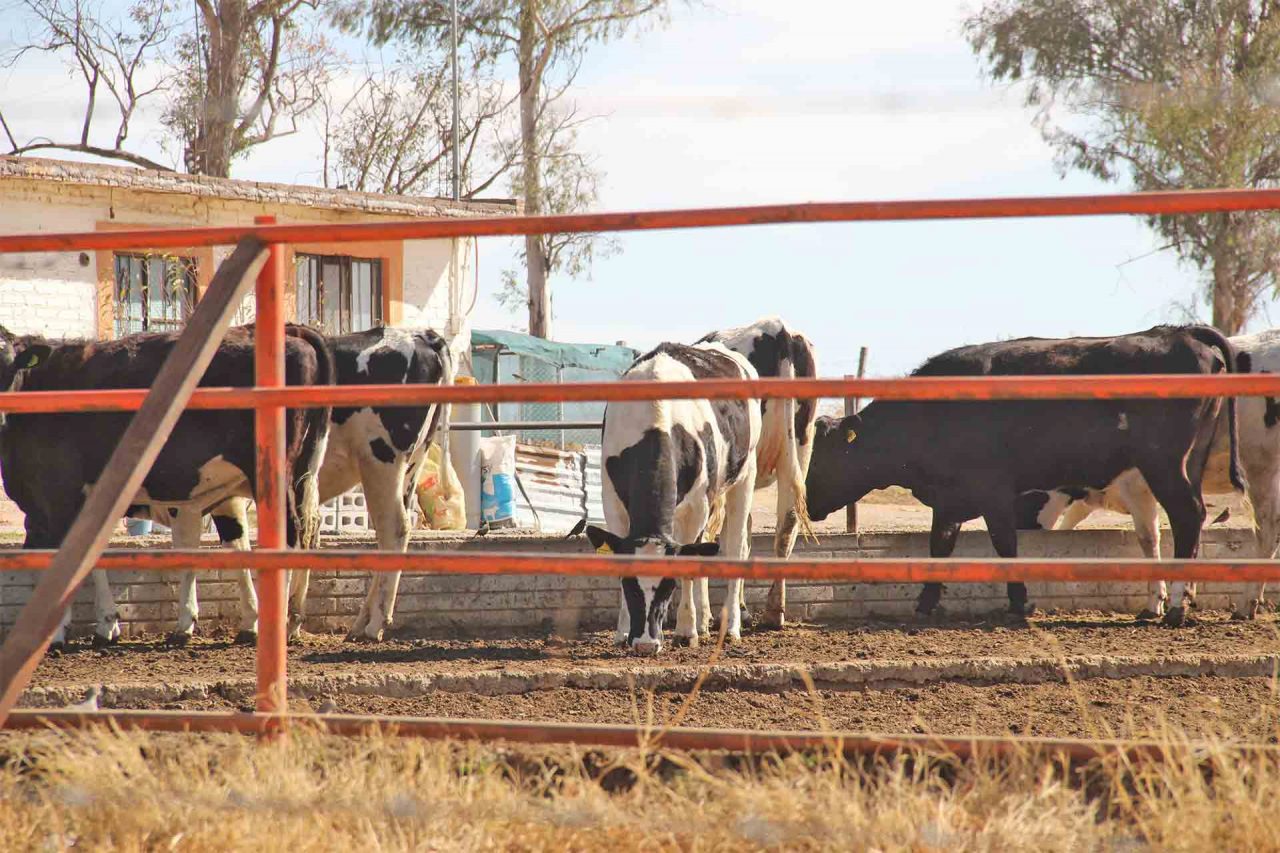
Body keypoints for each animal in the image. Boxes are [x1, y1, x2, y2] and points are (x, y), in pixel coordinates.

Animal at [0, 323, 334, 650]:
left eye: (9, 365)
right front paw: (106, 625)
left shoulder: (58, 495)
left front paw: (60, 632)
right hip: (302, 472)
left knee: (290, 535)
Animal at [166, 326, 453, 644]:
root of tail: (422, 335)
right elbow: (239, 545)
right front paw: (257, 620)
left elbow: (191, 547)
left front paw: (187, 624)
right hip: (409, 468)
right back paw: (359, 624)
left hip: (381, 462)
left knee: (393, 530)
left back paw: (375, 624)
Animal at [585, 341, 761, 654]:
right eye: (629, 584)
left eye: (668, 586)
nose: (645, 644)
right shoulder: (612, 502)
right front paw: (622, 631)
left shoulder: (696, 506)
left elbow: (689, 562)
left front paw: (686, 631)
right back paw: (705, 621)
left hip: (744, 475)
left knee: (735, 547)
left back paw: (729, 627)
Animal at [804, 325, 1245, 627]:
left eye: (821, 458)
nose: (806, 503)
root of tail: (1177, 332)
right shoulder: (949, 498)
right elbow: (939, 547)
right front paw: (926, 603)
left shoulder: (994, 492)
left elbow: (1005, 546)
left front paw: (1020, 602)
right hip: (1184, 464)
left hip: (1164, 465)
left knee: (1187, 516)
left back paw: (1176, 607)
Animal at [1015, 327, 1280, 621]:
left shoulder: (1136, 486)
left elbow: (1149, 538)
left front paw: (1158, 602)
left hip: (1260, 466)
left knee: (1267, 528)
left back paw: (1246, 603)